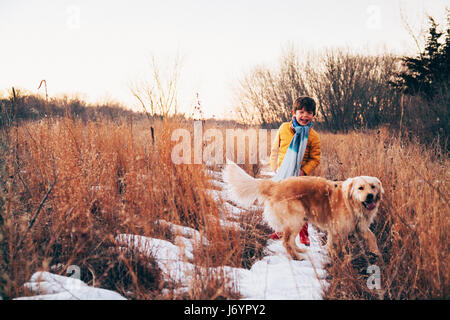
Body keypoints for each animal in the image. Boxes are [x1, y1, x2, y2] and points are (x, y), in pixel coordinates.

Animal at [221, 162, 384, 260]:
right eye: (360, 188)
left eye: (373, 186)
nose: (370, 196)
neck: (351, 202)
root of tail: (276, 185)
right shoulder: (339, 228)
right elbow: (340, 245)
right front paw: (341, 257)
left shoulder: (359, 226)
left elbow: (372, 236)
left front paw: (376, 252)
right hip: (296, 218)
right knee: (286, 241)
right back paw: (296, 257)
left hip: (298, 220)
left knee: (291, 240)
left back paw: (299, 251)